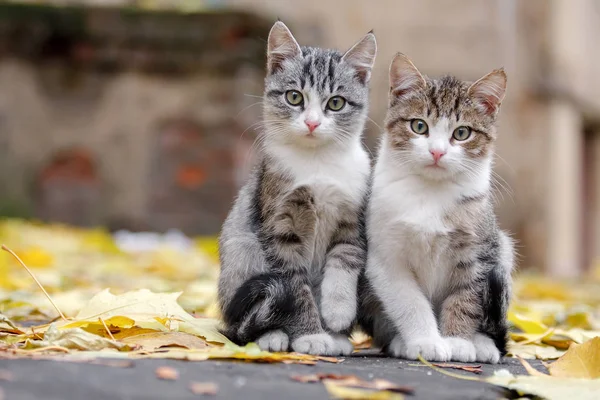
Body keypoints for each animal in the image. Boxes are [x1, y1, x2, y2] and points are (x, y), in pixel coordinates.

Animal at [216, 20, 376, 354]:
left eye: (336, 102)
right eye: (294, 97)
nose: (312, 123)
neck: (318, 163)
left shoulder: (353, 216)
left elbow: (345, 257)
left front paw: (337, 314)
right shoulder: (279, 227)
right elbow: (294, 286)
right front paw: (310, 335)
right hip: (242, 252)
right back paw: (273, 335)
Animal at [358, 54, 512, 366]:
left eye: (462, 133)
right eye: (419, 126)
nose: (438, 152)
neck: (430, 193)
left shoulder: (478, 253)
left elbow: (466, 297)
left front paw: (458, 341)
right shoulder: (386, 256)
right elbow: (409, 301)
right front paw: (426, 341)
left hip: (501, 247)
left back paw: (483, 344)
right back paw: (399, 342)